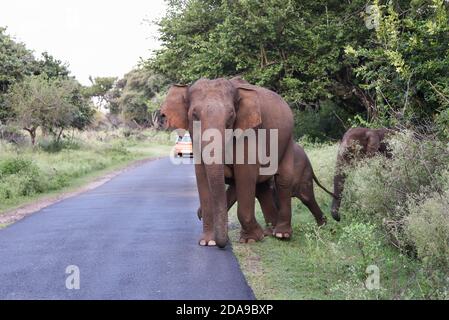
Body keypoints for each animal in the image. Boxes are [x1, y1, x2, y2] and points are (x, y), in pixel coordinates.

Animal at [160, 77, 294, 248]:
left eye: (231, 116)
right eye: (194, 115)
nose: (221, 244)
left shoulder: (249, 132)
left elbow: (245, 173)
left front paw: (251, 239)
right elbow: (202, 176)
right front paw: (207, 242)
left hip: (288, 141)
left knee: (283, 180)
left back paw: (281, 234)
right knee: (261, 186)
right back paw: (269, 231)